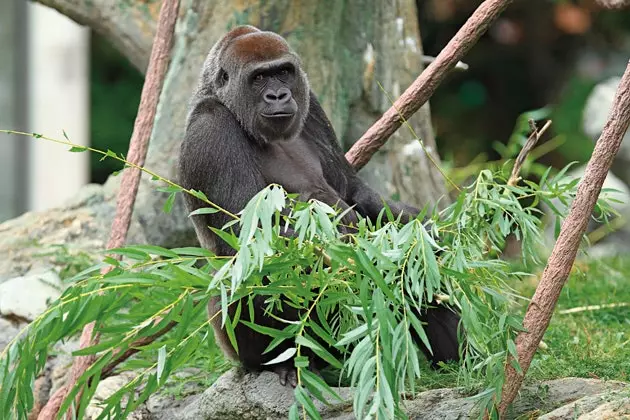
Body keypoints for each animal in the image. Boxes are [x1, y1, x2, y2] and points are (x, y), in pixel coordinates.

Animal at [179, 25, 464, 388]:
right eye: (259, 78)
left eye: (284, 72)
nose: (278, 96)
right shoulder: (211, 130)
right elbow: (257, 239)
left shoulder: (310, 101)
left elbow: (358, 193)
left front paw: (418, 231)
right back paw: (282, 362)